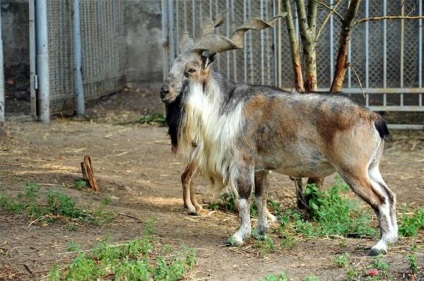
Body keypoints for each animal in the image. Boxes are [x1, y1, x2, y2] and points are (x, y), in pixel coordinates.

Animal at [161, 14, 398, 255]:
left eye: (191, 69)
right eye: (174, 64)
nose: (164, 92)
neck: (227, 105)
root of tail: (372, 118)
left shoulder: (243, 162)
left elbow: (243, 198)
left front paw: (239, 236)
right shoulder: (261, 168)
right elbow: (260, 197)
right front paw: (261, 232)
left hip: (353, 170)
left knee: (379, 200)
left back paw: (380, 245)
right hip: (371, 169)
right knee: (390, 196)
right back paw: (392, 238)